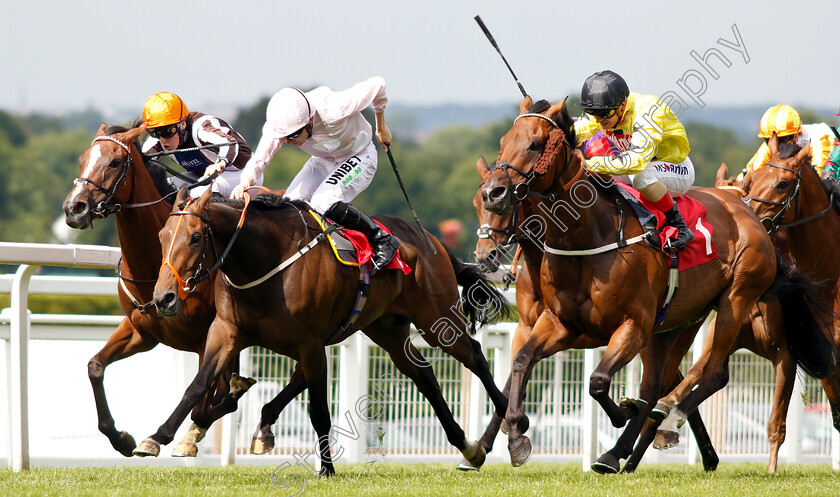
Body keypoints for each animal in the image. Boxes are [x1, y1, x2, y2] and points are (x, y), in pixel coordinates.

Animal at [62, 124, 253, 458]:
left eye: (115, 162)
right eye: (83, 158)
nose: (74, 208)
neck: (153, 265)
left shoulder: (208, 339)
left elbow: (206, 397)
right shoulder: (142, 331)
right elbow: (95, 366)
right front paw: (121, 438)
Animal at [138, 187, 512, 472]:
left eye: (195, 237)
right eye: (161, 237)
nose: (163, 298)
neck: (264, 261)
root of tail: (428, 237)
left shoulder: (311, 344)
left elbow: (319, 412)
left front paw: (327, 469)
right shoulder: (226, 332)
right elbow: (196, 387)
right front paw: (157, 437)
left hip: (435, 318)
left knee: (475, 356)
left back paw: (505, 420)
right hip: (387, 330)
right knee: (423, 374)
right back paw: (467, 446)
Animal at [476, 96, 836, 468]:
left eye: (535, 144)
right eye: (503, 142)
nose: (493, 193)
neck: (585, 238)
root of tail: (747, 211)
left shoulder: (632, 325)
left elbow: (598, 381)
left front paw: (622, 411)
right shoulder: (559, 324)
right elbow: (520, 363)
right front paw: (515, 436)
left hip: (735, 300)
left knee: (709, 373)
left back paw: (662, 423)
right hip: (676, 323)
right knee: (655, 386)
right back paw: (619, 451)